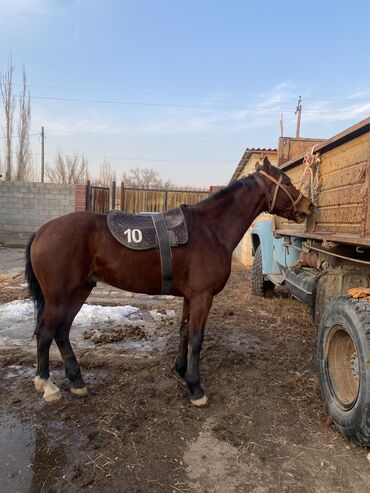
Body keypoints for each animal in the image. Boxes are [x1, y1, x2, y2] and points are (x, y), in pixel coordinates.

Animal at [24, 158, 314, 404]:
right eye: (288, 182)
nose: (308, 207)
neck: (210, 230)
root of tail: (41, 231)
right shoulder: (202, 296)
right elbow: (197, 337)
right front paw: (196, 388)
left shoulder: (190, 296)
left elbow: (184, 331)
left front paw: (180, 370)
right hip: (59, 296)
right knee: (46, 332)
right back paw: (47, 385)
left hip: (79, 291)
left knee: (62, 331)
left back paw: (77, 381)